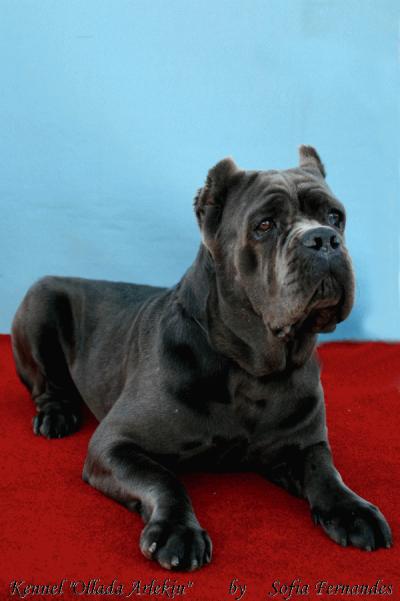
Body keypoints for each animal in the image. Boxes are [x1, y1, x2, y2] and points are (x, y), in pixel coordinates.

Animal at [12, 146, 392, 571]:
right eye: (264, 225)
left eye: (334, 216)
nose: (323, 238)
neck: (251, 370)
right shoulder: (114, 444)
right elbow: (164, 479)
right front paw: (177, 531)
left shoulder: (304, 443)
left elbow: (325, 472)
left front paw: (353, 510)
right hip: (40, 300)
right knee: (45, 384)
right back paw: (56, 415)